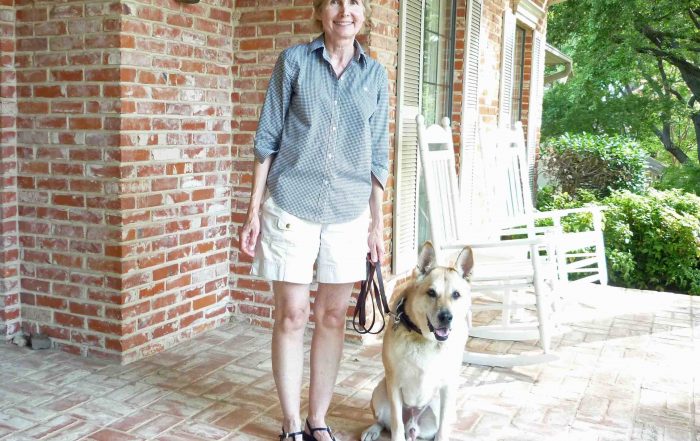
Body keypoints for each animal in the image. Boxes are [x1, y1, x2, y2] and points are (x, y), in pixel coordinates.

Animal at [361, 242, 473, 441]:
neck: (425, 339)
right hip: (379, 391)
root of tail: (412, 423)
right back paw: (373, 430)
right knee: (385, 423)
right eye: (431, 293)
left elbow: (443, 427)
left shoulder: (448, 386)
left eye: (456, 295)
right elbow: (396, 425)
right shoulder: (394, 383)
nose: (446, 317)